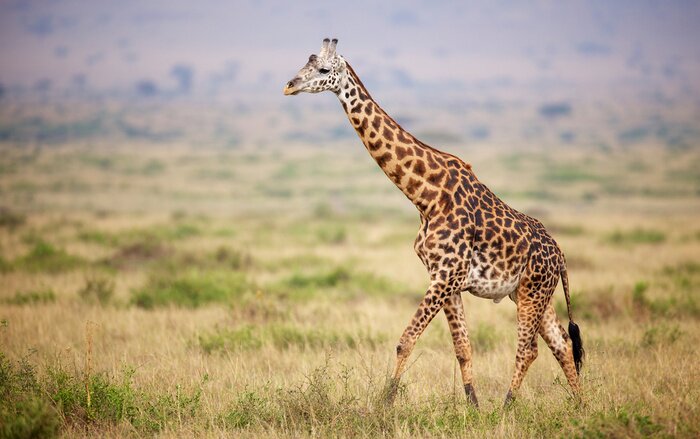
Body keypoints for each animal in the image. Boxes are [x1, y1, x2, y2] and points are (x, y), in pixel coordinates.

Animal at [283, 38, 584, 408]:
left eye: (324, 69)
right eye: (305, 63)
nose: (289, 86)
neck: (425, 196)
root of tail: (560, 255)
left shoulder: (444, 276)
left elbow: (406, 340)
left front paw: (385, 404)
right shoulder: (445, 279)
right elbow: (463, 348)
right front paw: (473, 408)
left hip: (532, 292)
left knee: (529, 350)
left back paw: (506, 407)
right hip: (530, 292)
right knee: (562, 343)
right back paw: (581, 407)